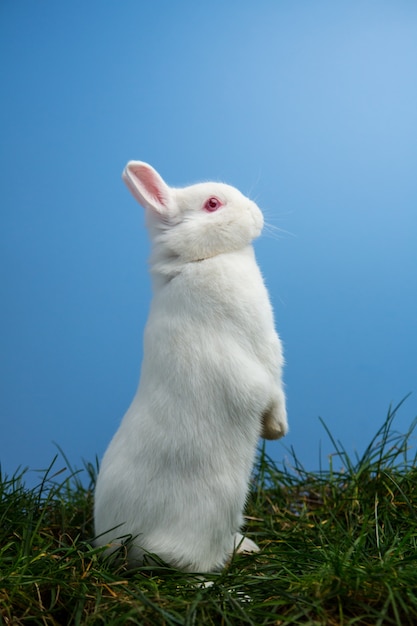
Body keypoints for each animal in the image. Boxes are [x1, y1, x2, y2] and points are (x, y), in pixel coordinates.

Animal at [92, 162, 286, 572]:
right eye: (213, 204)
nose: (256, 214)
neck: (196, 262)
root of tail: (118, 544)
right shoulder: (263, 355)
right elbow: (272, 391)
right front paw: (277, 429)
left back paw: (247, 546)